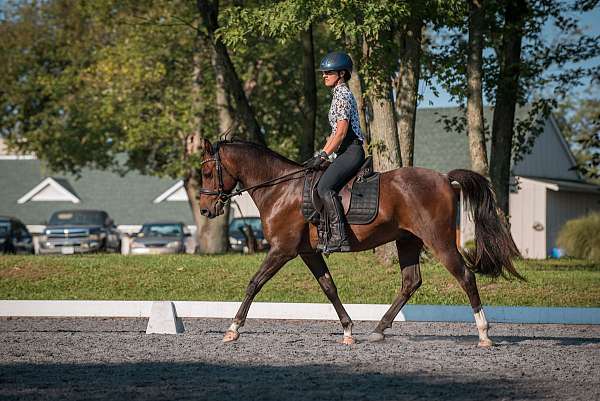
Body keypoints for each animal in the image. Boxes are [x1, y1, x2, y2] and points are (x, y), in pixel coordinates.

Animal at [196, 138, 520, 344]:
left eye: (207, 171)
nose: (205, 210)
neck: (281, 189)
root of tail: (444, 178)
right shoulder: (307, 252)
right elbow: (329, 287)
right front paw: (348, 330)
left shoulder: (282, 250)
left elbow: (254, 283)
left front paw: (233, 329)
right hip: (408, 241)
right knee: (411, 282)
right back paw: (378, 330)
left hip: (439, 241)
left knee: (465, 276)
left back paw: (484, 333)